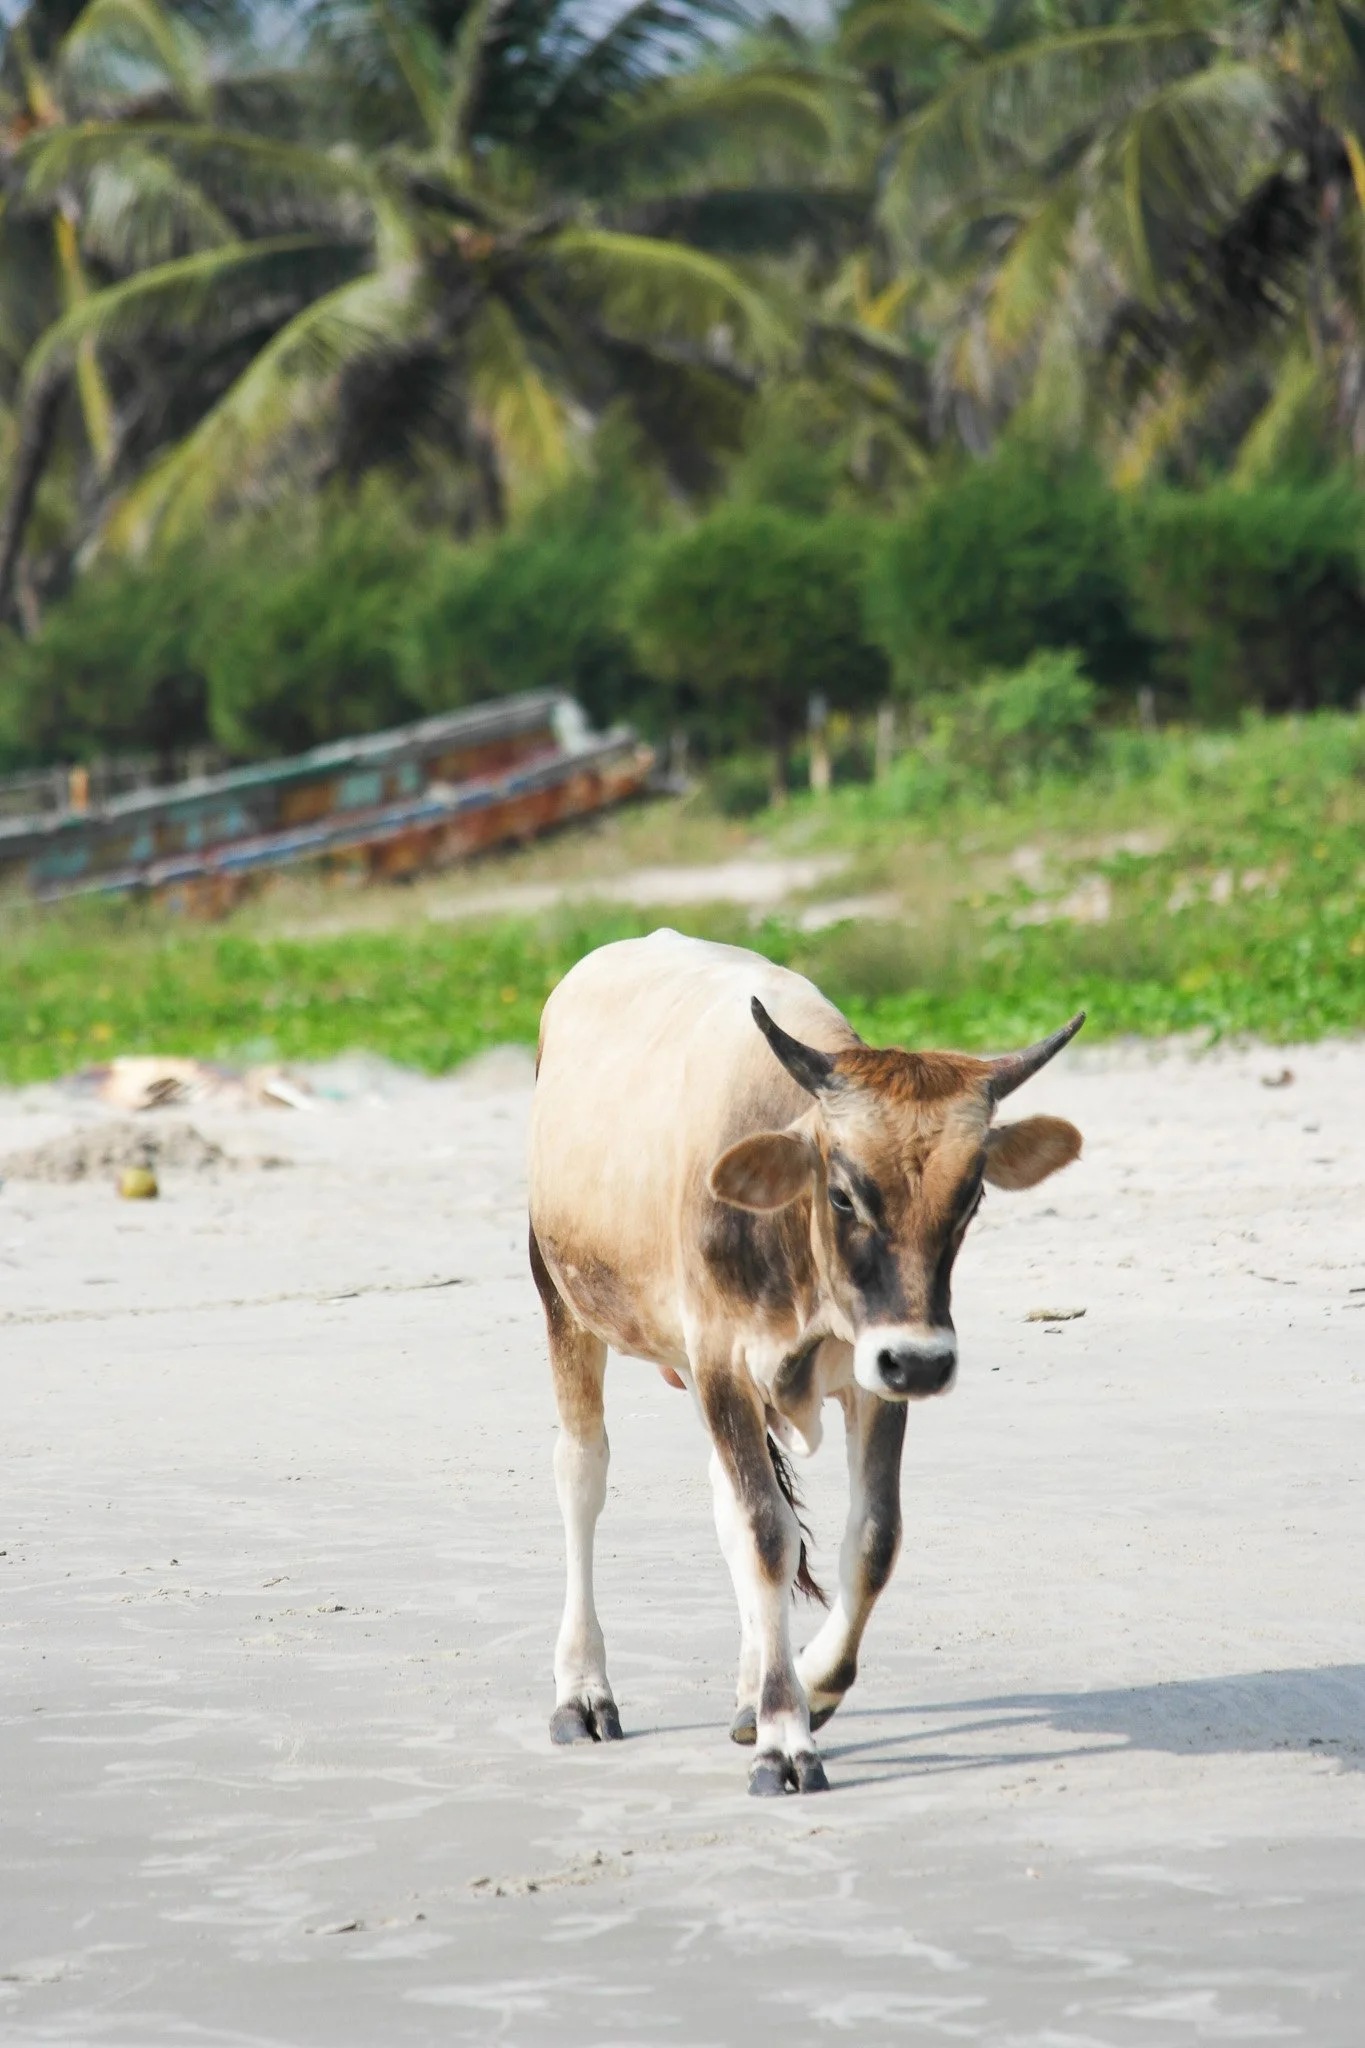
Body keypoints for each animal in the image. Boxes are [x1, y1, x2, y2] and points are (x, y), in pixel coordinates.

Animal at [527, 929, 1084, 1796]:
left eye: (971, 1197)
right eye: (845, 1193)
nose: (926, 1363)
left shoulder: (875, 1376)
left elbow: (872, 1537)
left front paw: (806, 1688)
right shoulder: (719, 1360)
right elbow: (766, 1531)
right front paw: (784, 1739)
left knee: (729, 1506)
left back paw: (750, 1684)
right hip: (564, 1303)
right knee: (583, 1475)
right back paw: (584, 1693)